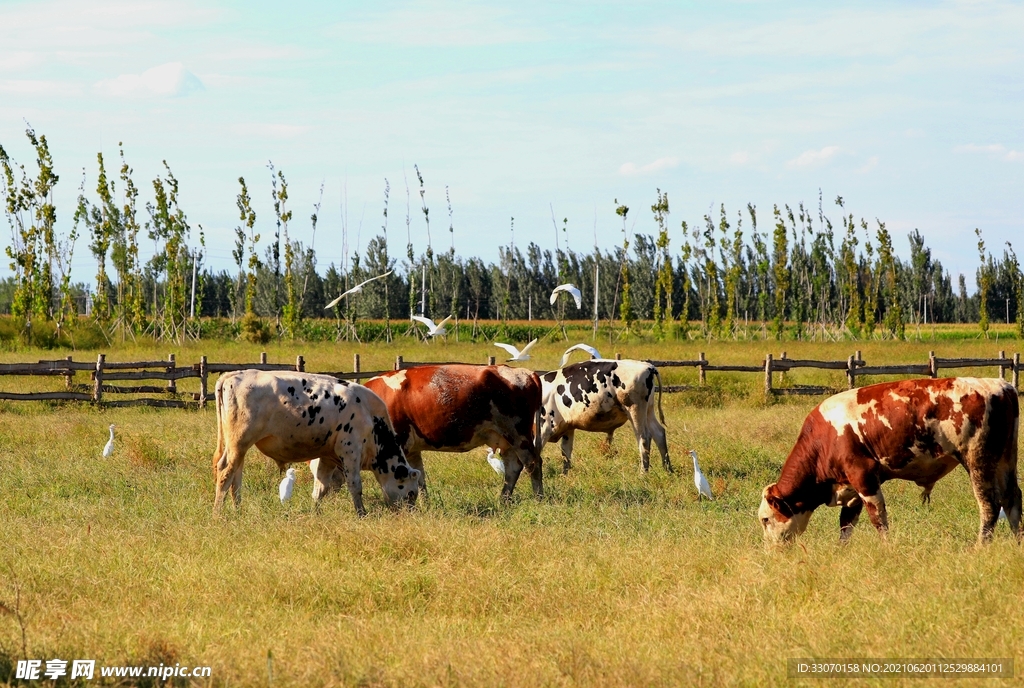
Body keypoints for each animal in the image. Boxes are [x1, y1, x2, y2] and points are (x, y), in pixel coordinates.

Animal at [211, 370, 419, 516]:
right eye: (411, 493)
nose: (410, 514)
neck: (370, 416)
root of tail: (234, 374)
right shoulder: (350, 450)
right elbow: (355, 485)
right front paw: (361, 513)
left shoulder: (328, 456)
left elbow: (320, 488)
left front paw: (315, 512)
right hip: (239, 443)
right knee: (226, 473)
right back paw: (218, 514)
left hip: (238, 448)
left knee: (235, 477)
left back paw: (238, 509)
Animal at [317, 364, 544, 499]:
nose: (327, 496)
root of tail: (526, 372)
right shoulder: (412, 449)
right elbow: (420, 478)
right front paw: (425, 503)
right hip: (506, 439)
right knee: (513, 468)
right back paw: (503, 499)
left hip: (518, 434)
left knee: (533, 464)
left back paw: (538, 498)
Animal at [536, 358, 671, 475]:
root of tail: (648, 366)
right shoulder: (568, 428)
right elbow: (566, 453)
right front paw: (565, 476)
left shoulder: (544, 429)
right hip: (648, 410)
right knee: (659, 433)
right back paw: (668, 470)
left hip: (635, 409)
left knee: (644, 437)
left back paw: (643, 473)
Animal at [757, 376, 1019, 544]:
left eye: (765, 519)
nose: (770, 550)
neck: (824, 437)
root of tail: (1001, 385)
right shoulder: (851, 488)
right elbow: (846, 525)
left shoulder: (864, 478)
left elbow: (878, 518)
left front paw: (886, 548)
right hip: (1006, 461)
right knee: (1013, 499)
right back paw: (1019, 542)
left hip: (979, 461)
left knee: (990, 505)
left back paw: (980, 547)